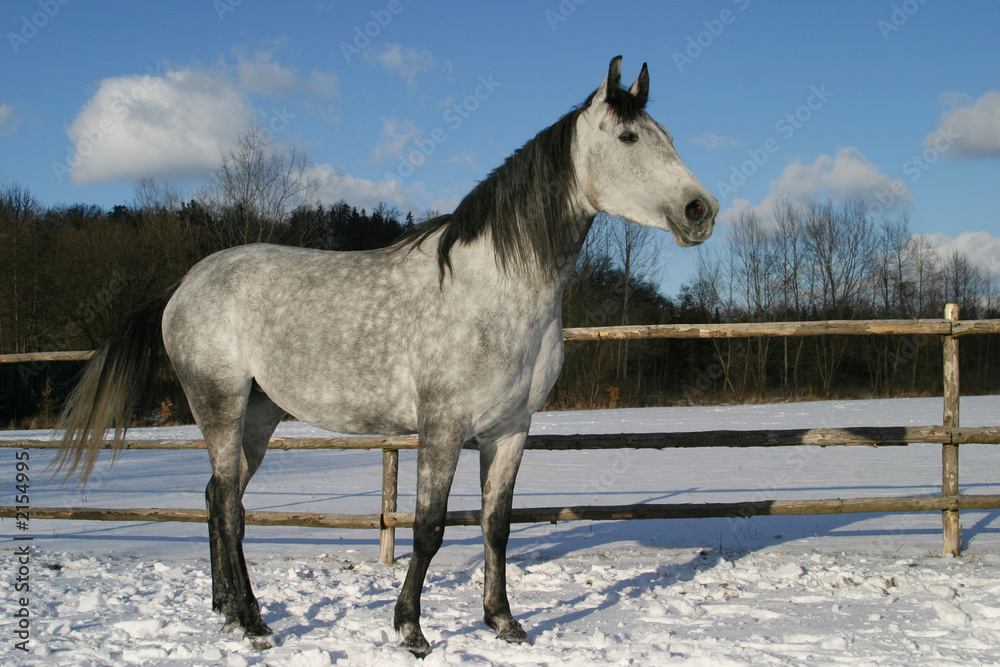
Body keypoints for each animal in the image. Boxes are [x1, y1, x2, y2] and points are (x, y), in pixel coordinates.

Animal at [54, 57, 716, 656]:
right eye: (629, 137)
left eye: (669, 136)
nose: (700, 211)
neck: (493, 288)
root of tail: (185, 285)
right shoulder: (442, 426)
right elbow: (427, 529)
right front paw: (411, 630)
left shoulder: (510, 429)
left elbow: (496, 524)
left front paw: (503, 622)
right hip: (219, 403)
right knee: (232, 510)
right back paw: (253, 622)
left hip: (259, 416)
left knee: (220, 498)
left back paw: (225, 610)